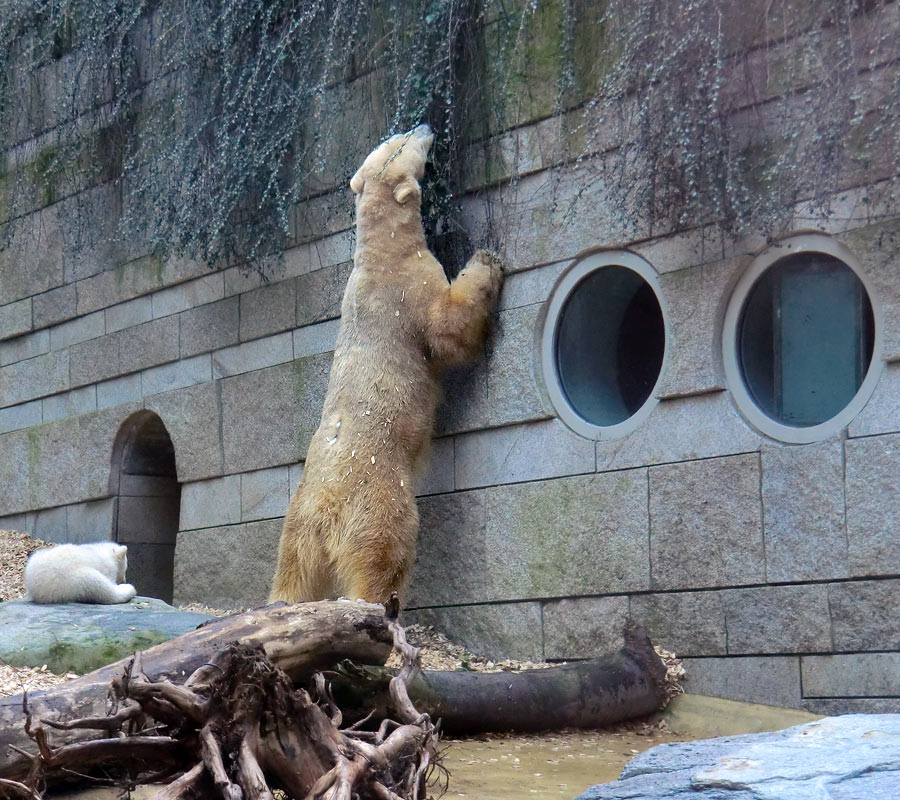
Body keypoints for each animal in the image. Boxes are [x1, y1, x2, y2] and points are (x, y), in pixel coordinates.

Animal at [270, 123, 502, 608]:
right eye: (402, 144)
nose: (425, 125)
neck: (381, 252)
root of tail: (326, 505)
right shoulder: (409, 289)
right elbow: (447, 328)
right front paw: (487, 260)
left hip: (296, 522)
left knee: (293, 574)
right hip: (378, 498)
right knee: (386, 553)